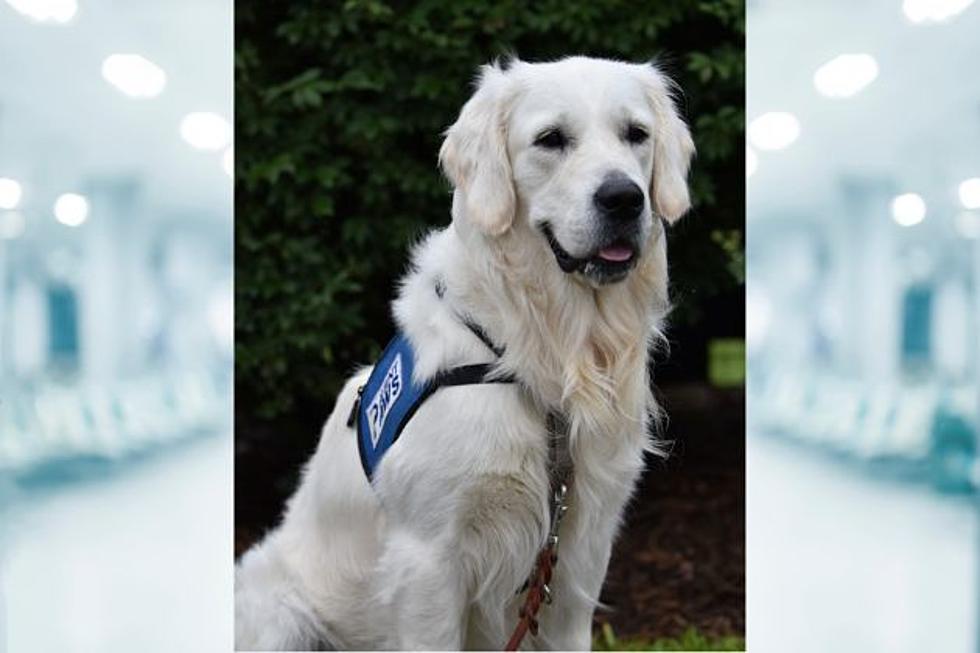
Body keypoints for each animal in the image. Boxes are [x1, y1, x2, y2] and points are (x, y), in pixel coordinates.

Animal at [235, 54, 696, 648]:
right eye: (551, 139)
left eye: (636, 134)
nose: (624, 198)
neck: (537, 354)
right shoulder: (428, 559)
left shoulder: (579, 552)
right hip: (280, 613)